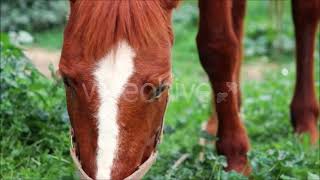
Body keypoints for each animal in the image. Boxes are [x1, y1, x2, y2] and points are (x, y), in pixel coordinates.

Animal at [58, 0, 318, 179]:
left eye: (160, 89)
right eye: (67, 80)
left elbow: (217, 46)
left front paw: (236, 159)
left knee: (305, 13)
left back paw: (306, 123)